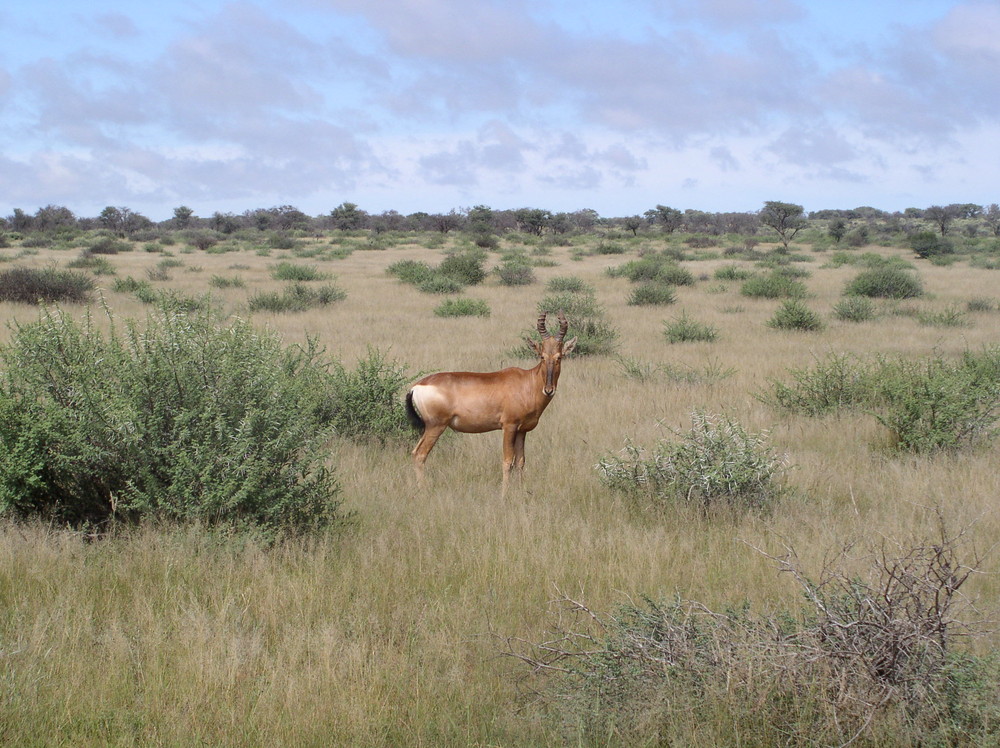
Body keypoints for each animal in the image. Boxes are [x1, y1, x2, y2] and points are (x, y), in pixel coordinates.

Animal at [404, 308, 580, 490]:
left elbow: (520, 462)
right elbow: (507, 461)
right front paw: (504, 494)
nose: (548, 390)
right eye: (542, 356)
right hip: (435, 426)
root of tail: (417, 386)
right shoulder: (509, 427)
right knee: (419, 454)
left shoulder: (522, 431)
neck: (527, 381)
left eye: (559, 357)